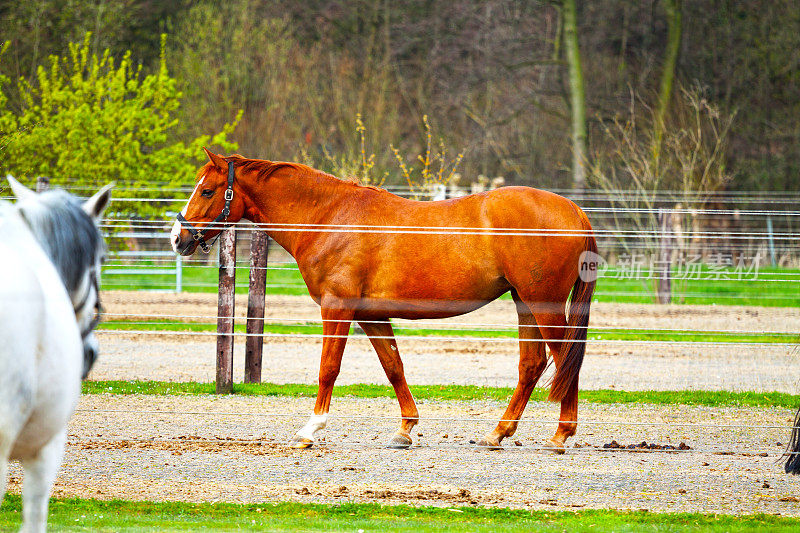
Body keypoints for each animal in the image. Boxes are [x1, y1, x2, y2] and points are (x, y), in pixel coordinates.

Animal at [172, 149, 592, 448]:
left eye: (207, 190)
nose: (179, 238)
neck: (330, 218)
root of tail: (574, 210)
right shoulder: (370, 314)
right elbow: (394, 367)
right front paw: (405, 429)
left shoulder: (338, 308)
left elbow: (328, 369)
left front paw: (311, 428)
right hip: (524, 302)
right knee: (533, 365)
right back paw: (498, 433)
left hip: (543, 304)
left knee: (563, 360)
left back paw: (561, 435)